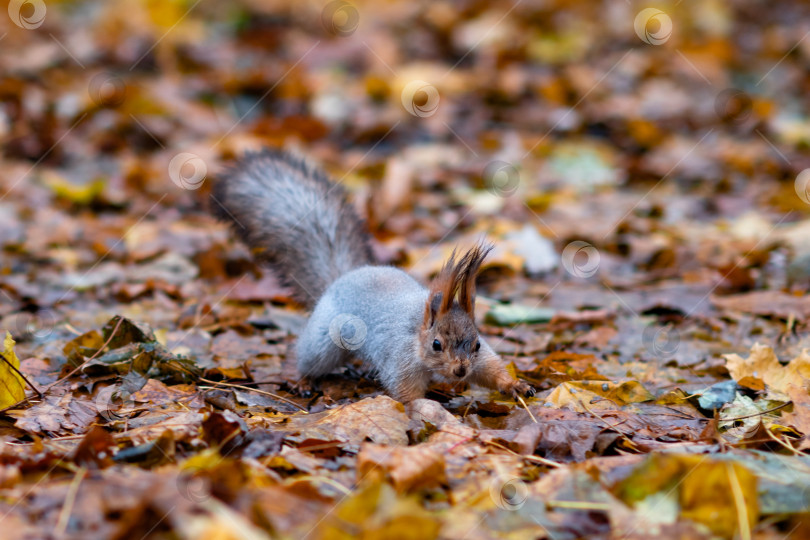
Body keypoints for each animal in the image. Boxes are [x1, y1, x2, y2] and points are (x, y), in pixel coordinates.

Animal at [211, 150, 532, 402]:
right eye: (436, 345)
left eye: (476, 344)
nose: (461, 370)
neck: (418, 331)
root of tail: (343, 277)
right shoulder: (400, 360)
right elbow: (406, 393)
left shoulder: (480, 357)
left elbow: (490, 369)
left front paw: (514, 384)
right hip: (324, 341)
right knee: (306, 356)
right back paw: (300, 379)